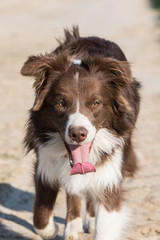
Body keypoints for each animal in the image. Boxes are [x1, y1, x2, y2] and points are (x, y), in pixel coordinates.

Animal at [21, 27, 140, 240]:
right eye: (61, 103)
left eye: (95, 103)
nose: (78, 134)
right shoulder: (45, 161)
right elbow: (41, 221)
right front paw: (55, 229)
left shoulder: (110, 169)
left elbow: (105, 220)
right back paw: (72, 226)